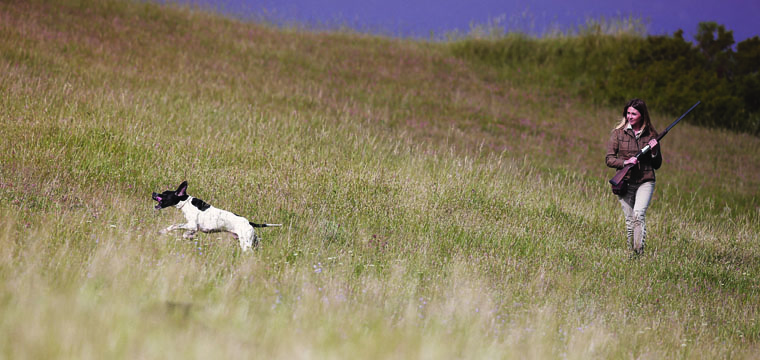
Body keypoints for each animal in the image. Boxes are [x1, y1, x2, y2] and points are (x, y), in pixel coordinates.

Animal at [151, 180, 280, 250]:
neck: (186, 202)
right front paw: (190, 236)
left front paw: (163, 231)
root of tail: (249, 222)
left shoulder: (191, 224)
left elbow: (174, 226)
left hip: (246, 245)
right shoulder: (193, 228)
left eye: (164, 194)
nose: (153, 193)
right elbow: (186, 234)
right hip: (253, 242)